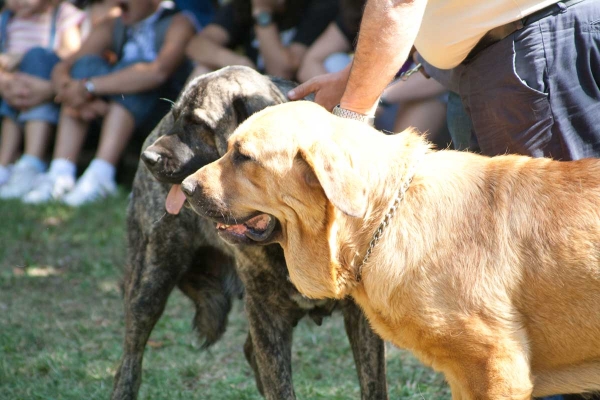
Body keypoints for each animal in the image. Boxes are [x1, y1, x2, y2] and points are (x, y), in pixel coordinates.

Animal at [110, 66, 386, 400]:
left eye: (198, 124)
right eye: (175, 117)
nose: (148, 158)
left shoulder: (362, 316)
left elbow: (373, 385)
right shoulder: (265, 312)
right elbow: (280, 385)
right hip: (151, 278)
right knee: (130, 358)